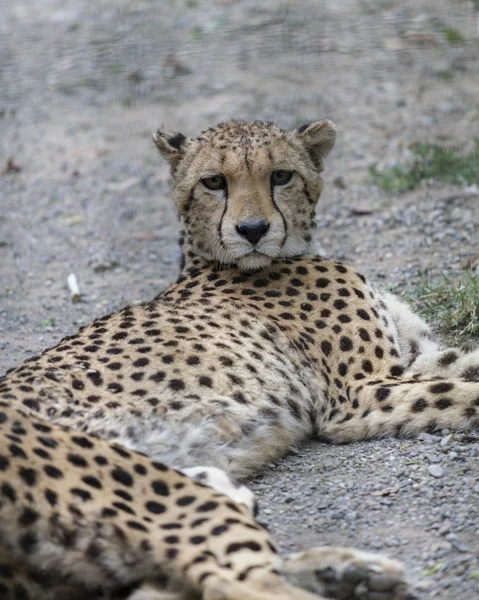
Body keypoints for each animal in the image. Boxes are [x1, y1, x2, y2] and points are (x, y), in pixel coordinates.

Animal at [0, 119, 478, 596]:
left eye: (280, 176)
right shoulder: (359, 393)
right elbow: (458, 393)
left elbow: (463, 365)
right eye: (214, 182)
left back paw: (351, 572)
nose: (252, 229)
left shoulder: (410, 361)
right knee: (239, 583)